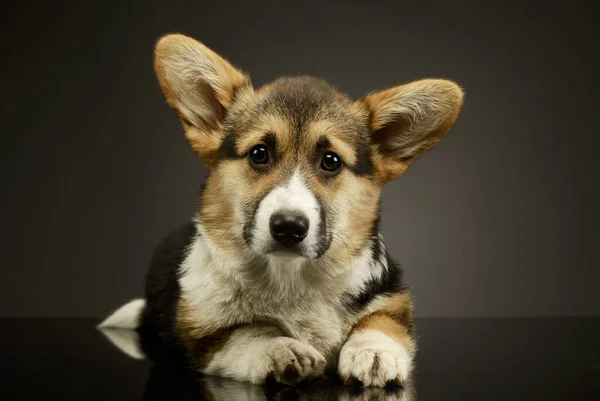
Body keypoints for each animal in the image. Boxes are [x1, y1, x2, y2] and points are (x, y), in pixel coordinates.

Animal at [99, 33, 464, 388]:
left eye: (330, 161)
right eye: (259, 154)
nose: (289, 227)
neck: (291, 277)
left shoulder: (392, 298)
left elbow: (380, 322)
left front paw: (373, 352)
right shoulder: (204, 335)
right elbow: (248, 331)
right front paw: (281, 348)